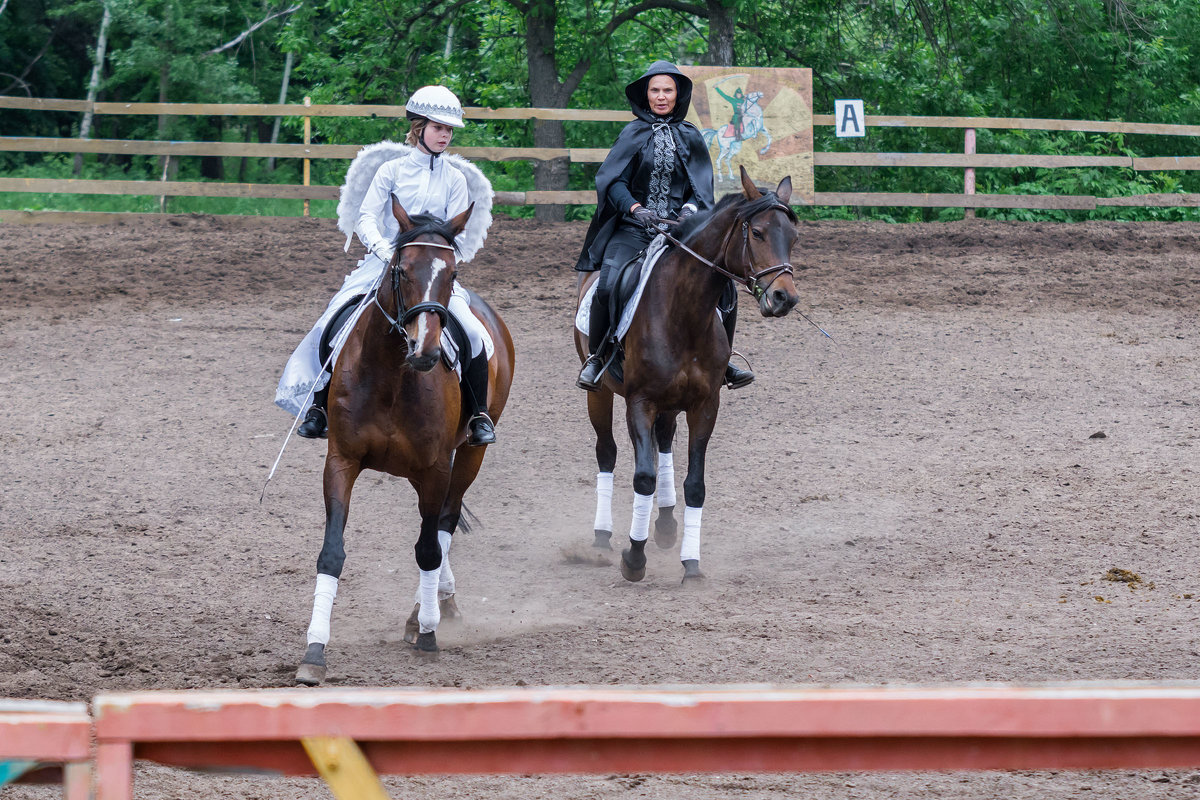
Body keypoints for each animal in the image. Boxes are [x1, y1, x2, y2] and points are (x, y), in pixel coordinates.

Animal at [296, 196, 516, 686]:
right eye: (402, 269)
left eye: (452, 273)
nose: (427, 350)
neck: (392, 377)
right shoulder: (341, 461)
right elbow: (331, 553)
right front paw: (314, 652)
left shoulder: (436, 468)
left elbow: (429, 548)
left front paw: (428, 632)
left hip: (469, 455)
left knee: (444, 525)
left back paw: (425, 614)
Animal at [576, 165, 801, 585]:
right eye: (758, 233)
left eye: (792, 237)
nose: (785, 297)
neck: (683, 311)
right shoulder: (640, 402)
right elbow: (642, 478)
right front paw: (634, 557)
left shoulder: (704, 405)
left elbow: (695, 486)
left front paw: (691, 564)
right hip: (598, 393)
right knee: (607, 452)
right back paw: (602, 536)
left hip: (670, 403)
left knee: (664, 443)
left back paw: (665, 524)